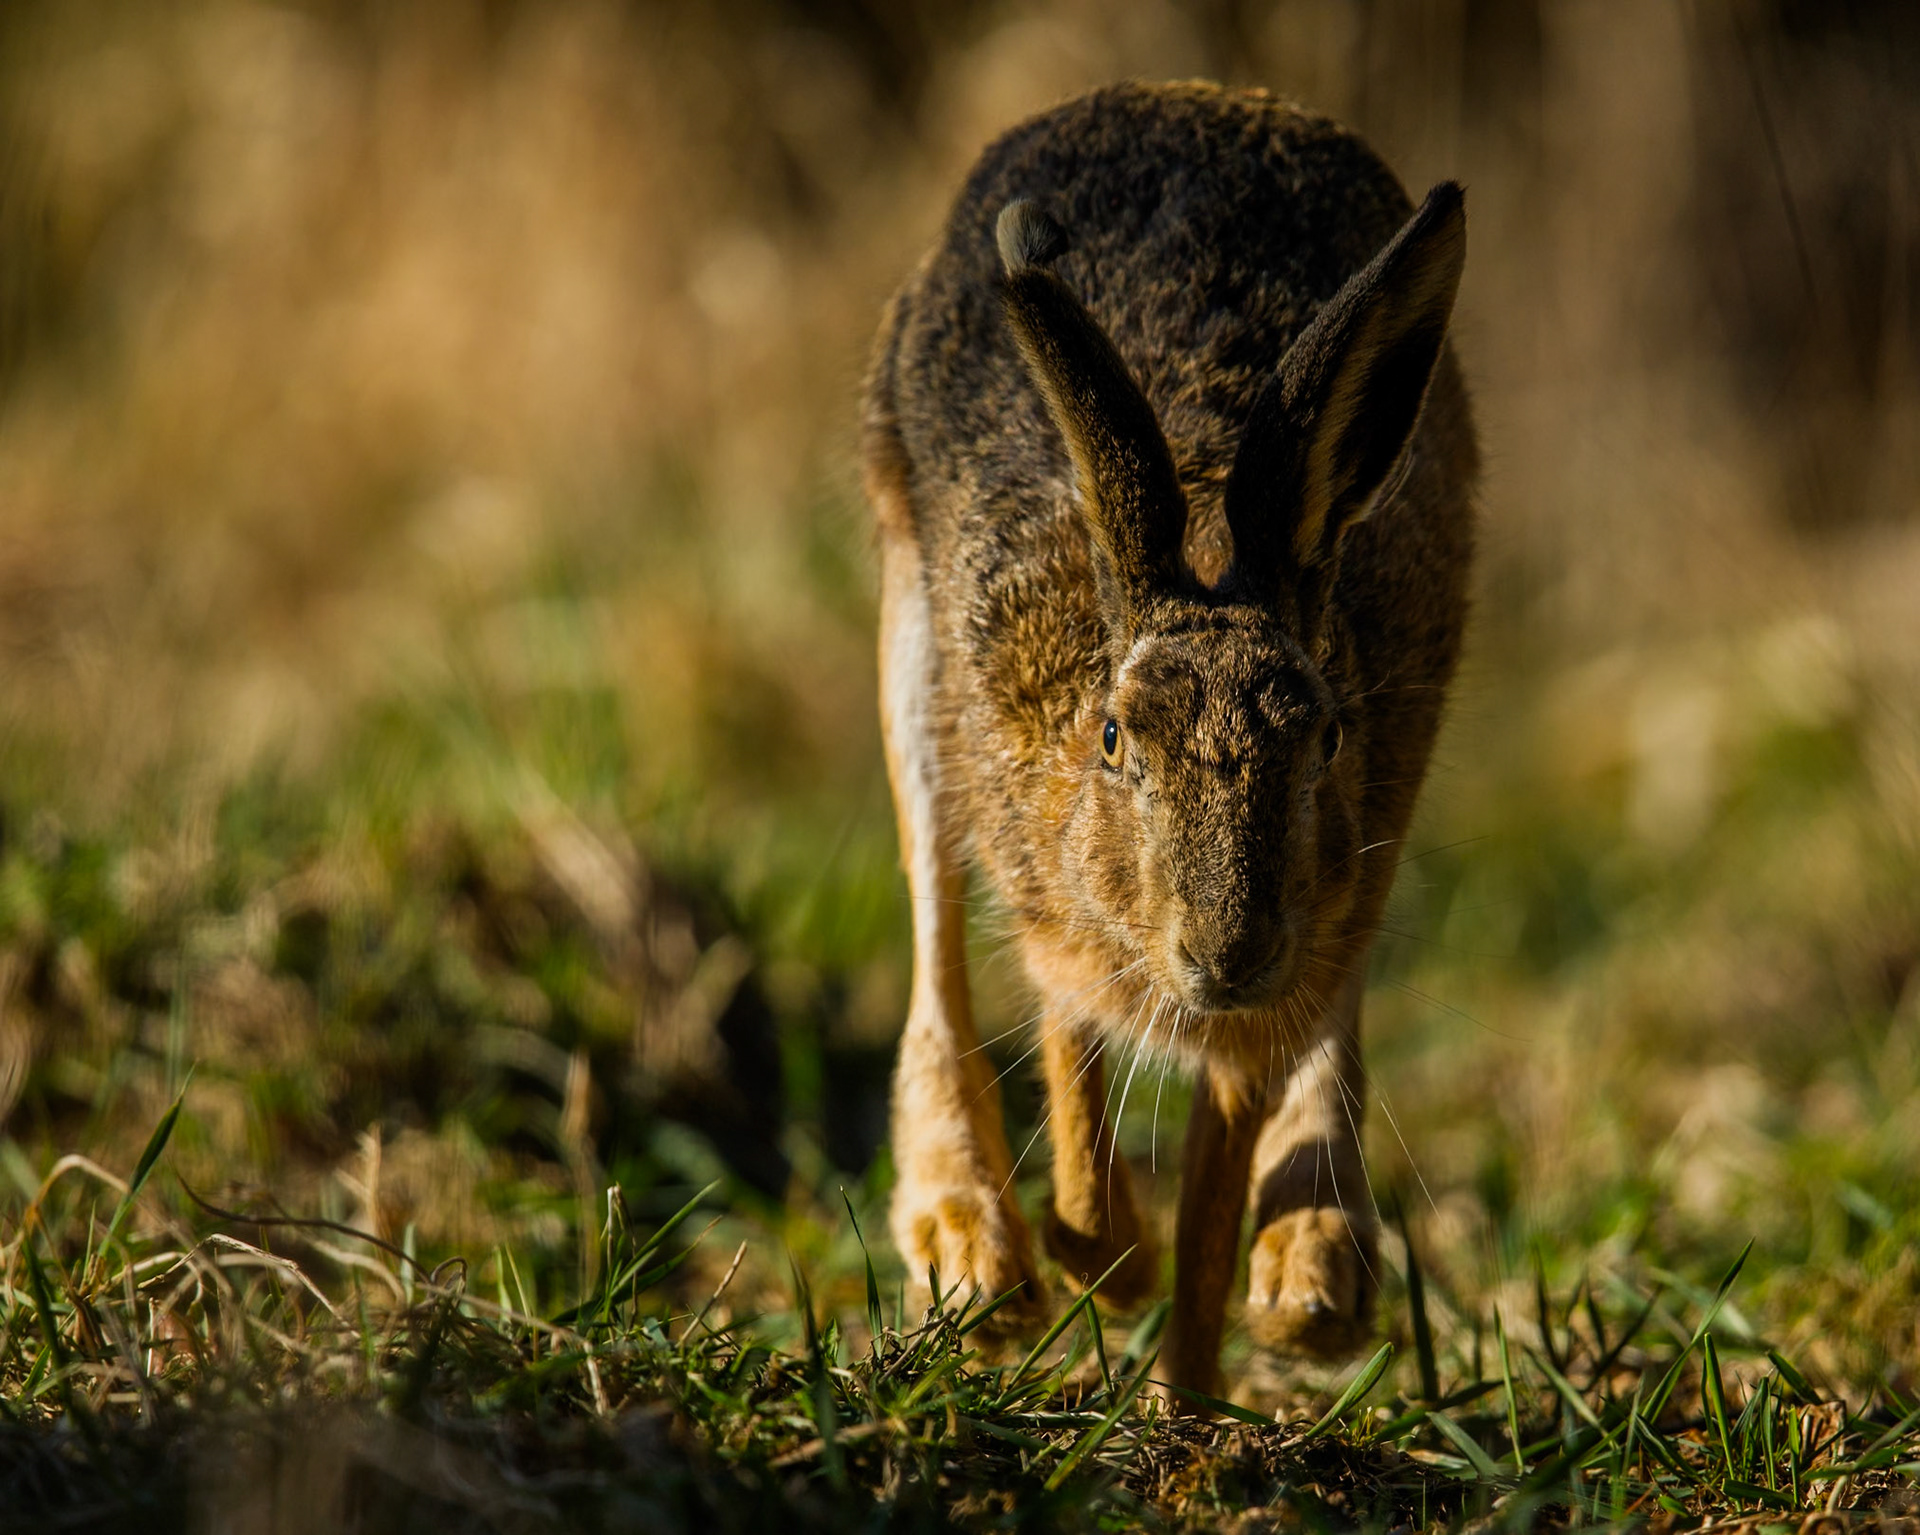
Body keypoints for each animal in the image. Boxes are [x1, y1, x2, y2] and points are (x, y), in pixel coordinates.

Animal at [861, 80, 1476, 1403]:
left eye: (1327, 734)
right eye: (1112, 736)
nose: (1225, 949)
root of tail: (1195, 97)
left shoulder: (1293, 946)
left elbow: (1211, 1200)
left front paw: (1185, 1391)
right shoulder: (1052, 900)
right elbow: (1069, 1066)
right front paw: (1106, 1265)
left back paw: (1315, 1278)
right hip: (912, 647)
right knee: (937, 942)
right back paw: (976, 1257)